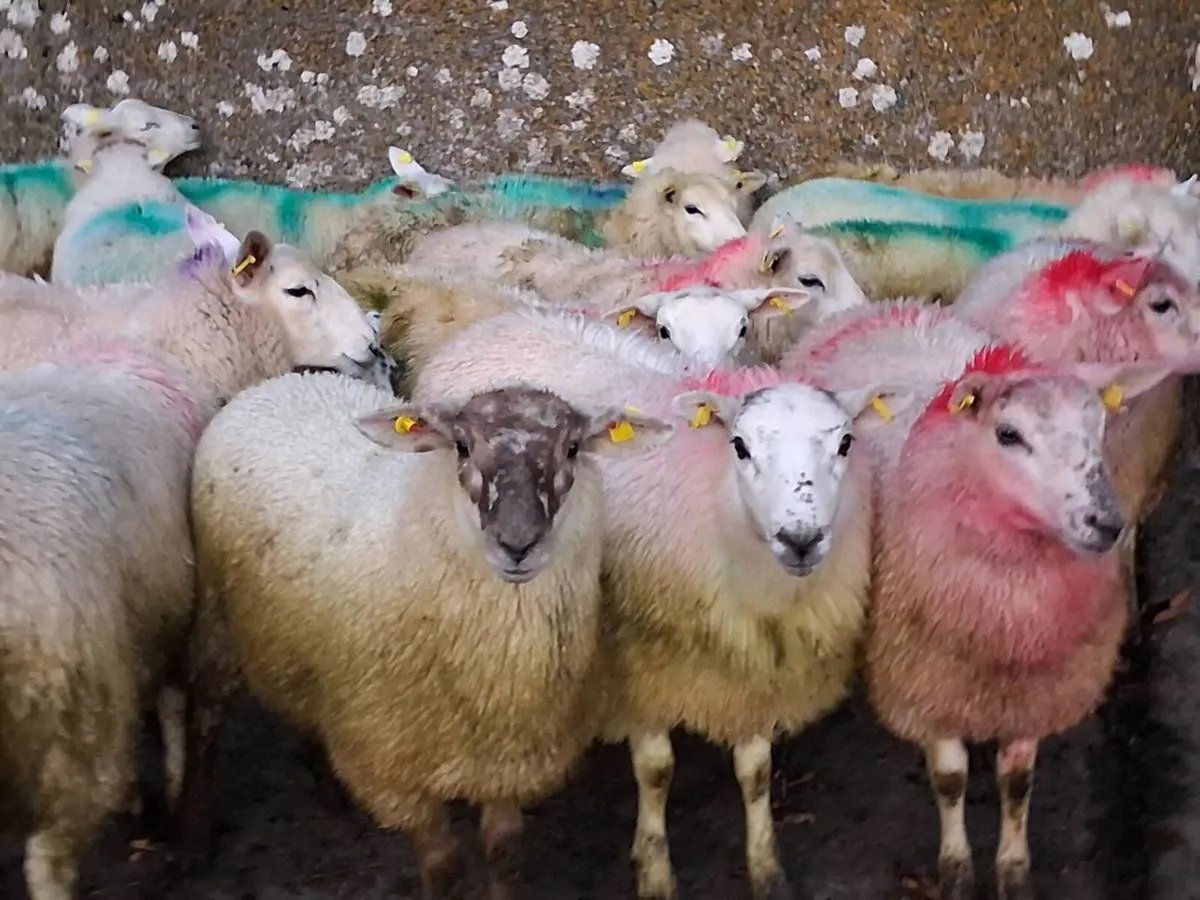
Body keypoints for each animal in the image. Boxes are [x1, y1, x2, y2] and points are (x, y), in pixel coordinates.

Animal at [176, 372, 674, 897]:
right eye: (461, 445)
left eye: (573, 448)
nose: (517, 545)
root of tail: (284, 380)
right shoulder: (399, 771)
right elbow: (442, 866)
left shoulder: (506, 760)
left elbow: (503, 852)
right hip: (216, 615)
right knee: (204, 715)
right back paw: (194, 839)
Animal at [410, 304, 890, 899]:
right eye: (740, 446)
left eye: (846, 444)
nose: (800, 538)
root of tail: (499, 320)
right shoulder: (634, 656)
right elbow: (657, 771)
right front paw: (655, 870)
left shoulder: (751, 661)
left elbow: (755, 770)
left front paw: (765, 868)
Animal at [780, 301, 1187, 899]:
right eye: (1009, 434)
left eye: (1098, 425)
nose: (1106, 523)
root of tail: (888, 306)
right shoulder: (925, 684)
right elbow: (950, 781)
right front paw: (956, 871)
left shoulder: (1035, 690)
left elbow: (1017, 783)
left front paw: (1013, 872)